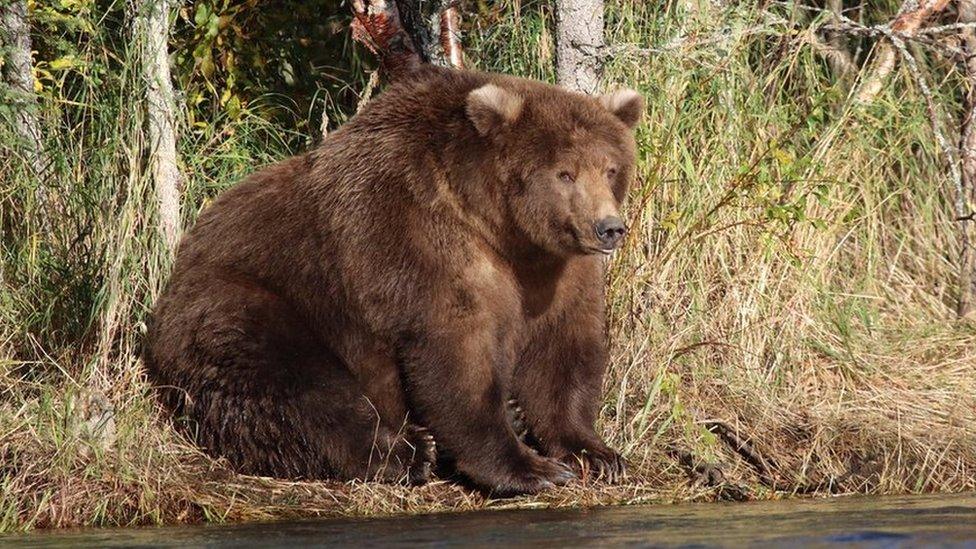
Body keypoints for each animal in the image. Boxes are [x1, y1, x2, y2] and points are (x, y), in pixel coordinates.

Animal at [143, 66, 640, 494]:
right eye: (565, 172)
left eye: (610, 168)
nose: (609, 228)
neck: (500, 228)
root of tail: (174, 274)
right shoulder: (418, 239)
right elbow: (456, 354)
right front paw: (529, 468)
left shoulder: (556, 272)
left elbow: (563, 351)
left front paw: (595, 453)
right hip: (247, 303)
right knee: (298, 388)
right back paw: (409, 452)